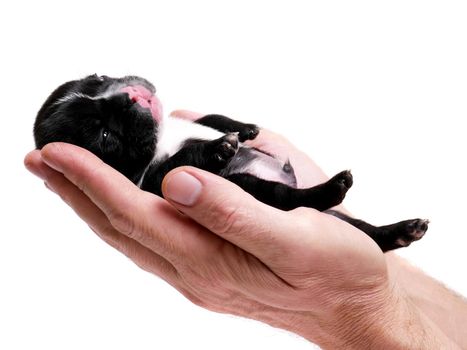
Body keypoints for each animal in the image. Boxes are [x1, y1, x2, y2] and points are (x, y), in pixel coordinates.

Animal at [33, 73, 432, 252]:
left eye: (99, 78)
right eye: (104, 135)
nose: (129, 95)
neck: (161, 135)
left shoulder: (191, 118)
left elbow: (211, 116)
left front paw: (245, 129)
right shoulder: (156, 180)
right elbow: (181, 160)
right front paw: (221, 148)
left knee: (366, 232)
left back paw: (403, 229)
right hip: (252, 188)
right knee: (291, 198)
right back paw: (333, 187)